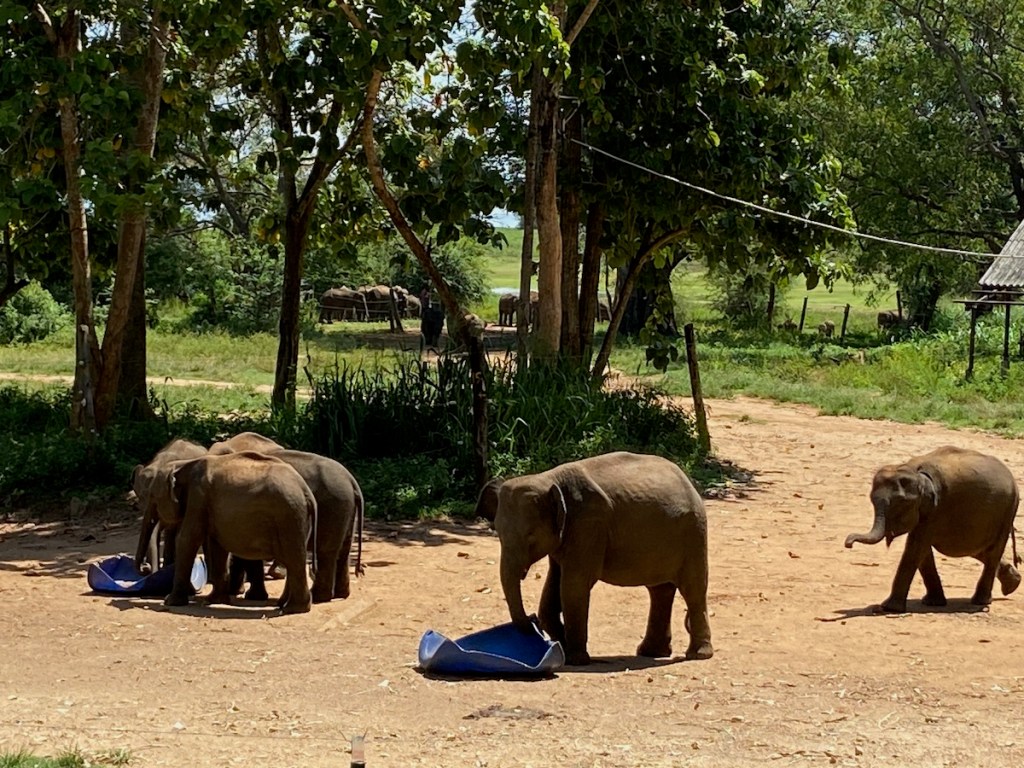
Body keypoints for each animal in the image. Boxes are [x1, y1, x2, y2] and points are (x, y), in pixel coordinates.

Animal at [158, 451, 317, 613]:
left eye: (153, 498)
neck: (184, 463)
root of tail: (305, 490)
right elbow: (216, 546)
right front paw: (214, 600)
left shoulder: (198, 497)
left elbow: (187, 539)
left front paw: (170, 602)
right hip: (298, 519)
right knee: (295, 559)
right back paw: (284, 605)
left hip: (289, 517)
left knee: (293, 558)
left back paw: (292, 609)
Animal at [475, 452, 713, 666]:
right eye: (498, 532)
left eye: (531, 536)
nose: (530, 621)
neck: (549, 479)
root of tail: (687, 480)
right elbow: (553, 586)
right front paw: (563, 647)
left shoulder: (588, 526)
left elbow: (573, 586)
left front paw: (576, 660)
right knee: (660, 590)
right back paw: (651, 652)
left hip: (694, 532)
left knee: (692, 589)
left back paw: (698, 655)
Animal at [845, 446, 1022, 613]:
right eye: (871, 500)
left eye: (901, 502)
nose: (848, 544)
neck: (917, 473)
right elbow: (922, 551)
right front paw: (933, 603)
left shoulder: (936, 509)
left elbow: (916, 547)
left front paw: (889, 608)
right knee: (977, 549)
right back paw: (1012, 583)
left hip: (1008, 511)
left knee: (992, 552)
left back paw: (981, 601)